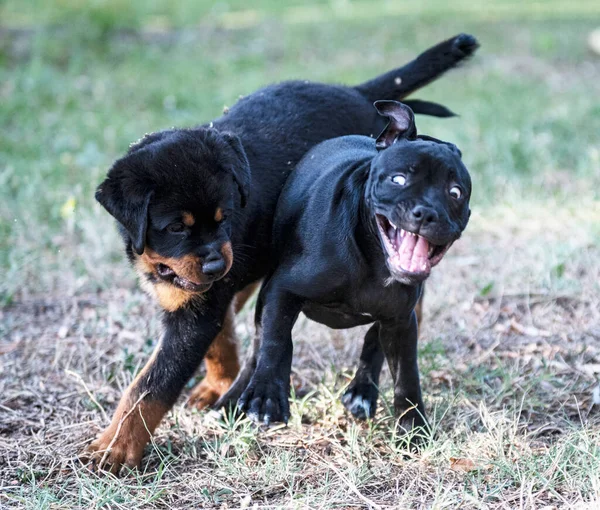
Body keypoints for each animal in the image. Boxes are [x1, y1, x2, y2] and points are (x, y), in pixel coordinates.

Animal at [237, 102, 472, 438]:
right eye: (397, 180)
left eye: (455, 193)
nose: (427, 213)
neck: (373, 261)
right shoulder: (282, 289)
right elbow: (275, 339)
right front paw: (266, 396)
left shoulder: (402, 321)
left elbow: (406, 375)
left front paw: (413, 427)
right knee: (262, 343)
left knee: (373, 340)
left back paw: (362, 392)